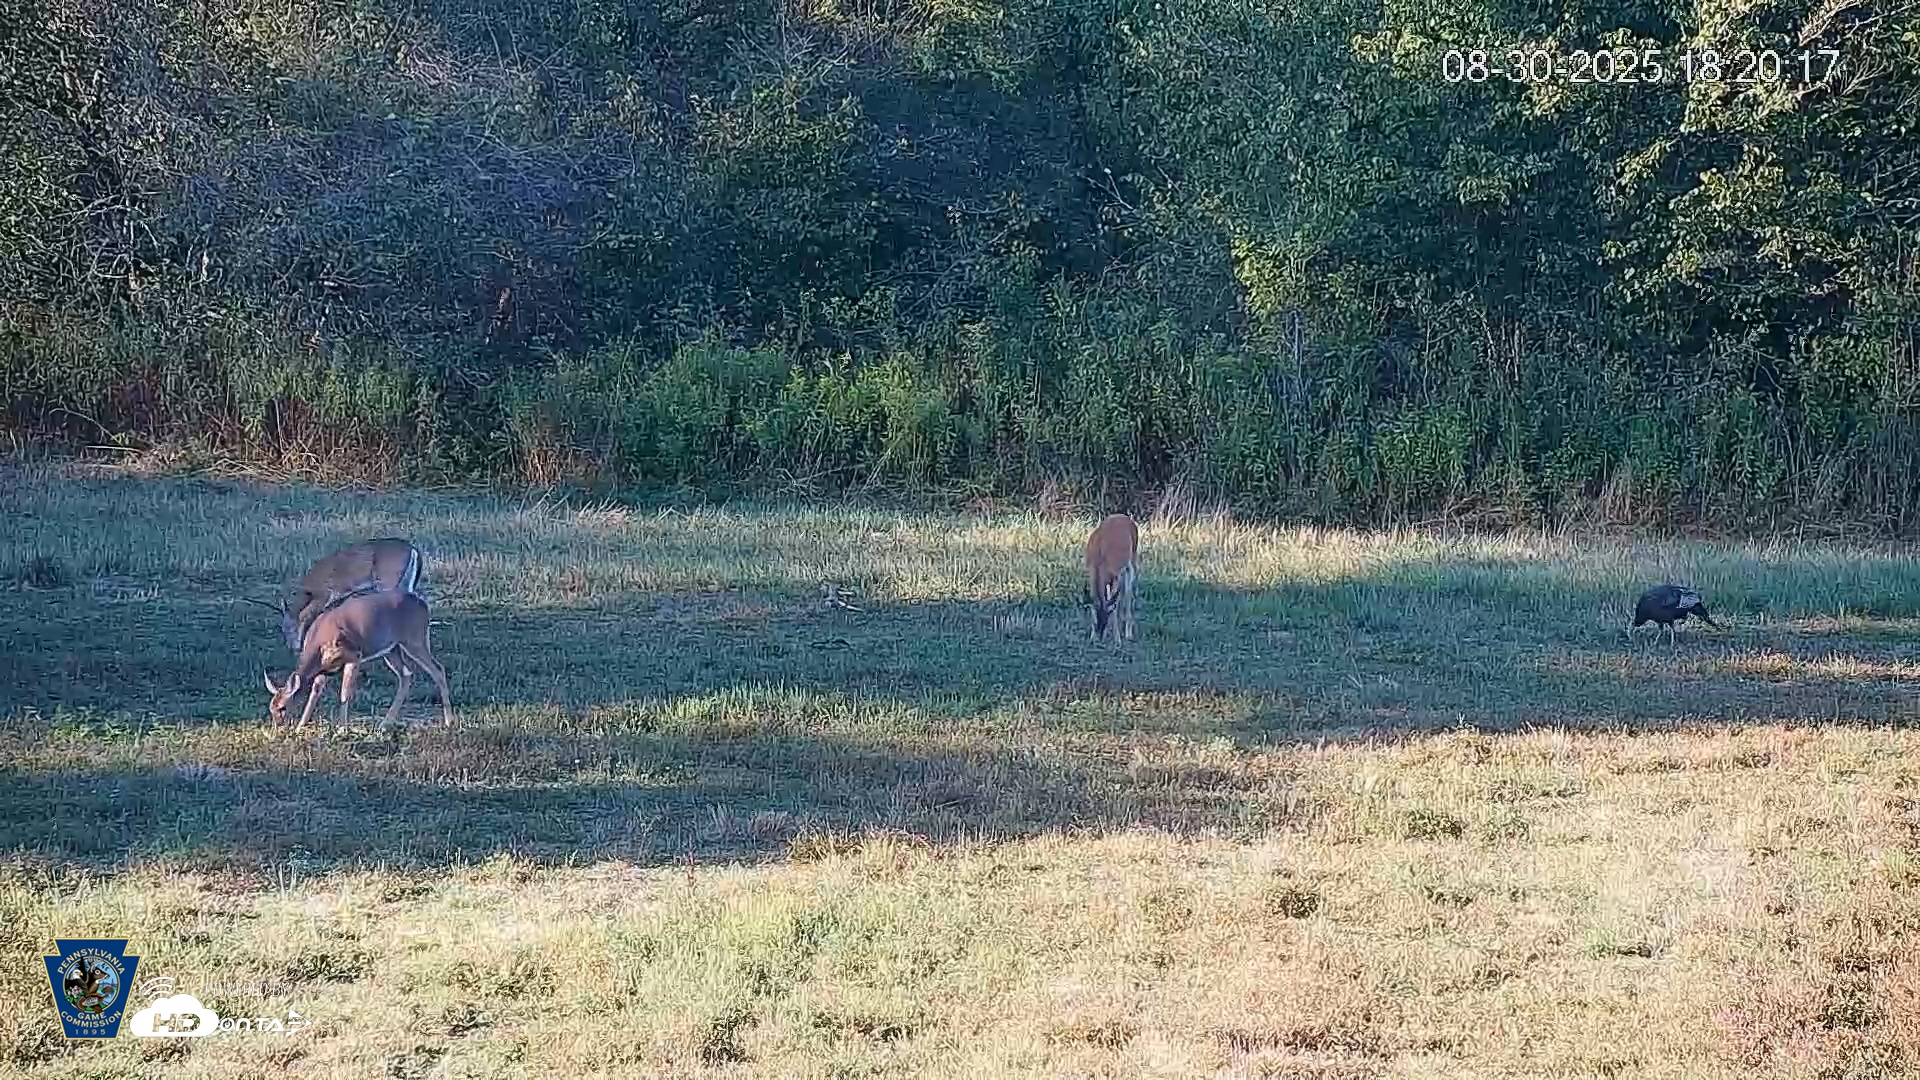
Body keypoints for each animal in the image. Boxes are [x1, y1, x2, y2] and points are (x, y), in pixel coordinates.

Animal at [263, 587, 454, 731]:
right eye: (271, 707)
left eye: (282, 707)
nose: (278, 726)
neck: (317, 646)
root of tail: (424, 604)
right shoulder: (324, 669)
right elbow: (315, 691)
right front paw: (300, 727)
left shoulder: (354, 655)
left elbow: (344, 693)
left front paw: (342, 728)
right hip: (392, 649)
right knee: (406, 675)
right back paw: (385, 723)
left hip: (414, 639)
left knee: (438, 669)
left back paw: (449, 721)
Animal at [1084, 512, 1139, 642]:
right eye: (1097, 620)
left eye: (1106, 618)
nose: (1100, 634)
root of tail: (1126, 517)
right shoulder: (1091, 573)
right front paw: (1092, 637)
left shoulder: (1116, 575)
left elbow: (1114, 605)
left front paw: (1117, 638)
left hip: (1131, 562)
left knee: (1128, 592)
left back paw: (1128, 633)